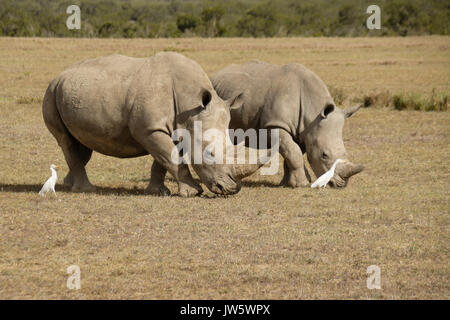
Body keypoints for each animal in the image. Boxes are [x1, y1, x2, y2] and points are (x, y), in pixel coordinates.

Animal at [43, 51, 258, 196]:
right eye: (210, 153)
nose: (233, 189)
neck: (190, 103)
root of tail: (59, 75)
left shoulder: (175, 127)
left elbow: (163, 160)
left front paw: (158, 191)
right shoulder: (149, 129)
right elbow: (170, 157)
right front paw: (193, 192)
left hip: (72, 92)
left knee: (82, 144)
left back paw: (69, 184)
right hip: (51, 93)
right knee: (66, 141)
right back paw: (86, 189)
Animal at [213, 60, 364, 188]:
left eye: (345, 153)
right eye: (324, 155)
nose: (341, 184)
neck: (313, 112)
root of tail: (218, 74)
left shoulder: (303, 131)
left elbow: (292, 154)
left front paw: (288, 184)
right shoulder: (276, 125)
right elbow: (294, 153)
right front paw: (303, 183)